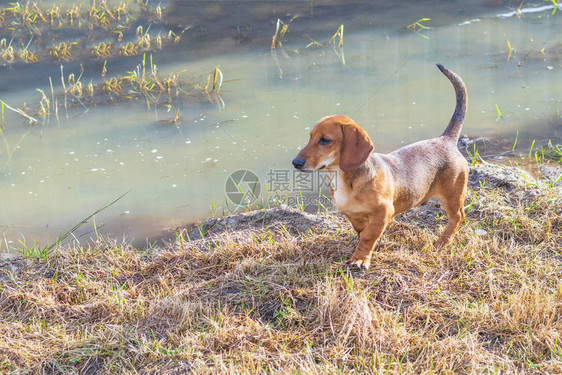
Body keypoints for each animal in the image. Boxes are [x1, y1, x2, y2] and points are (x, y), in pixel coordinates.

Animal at [290, 64, 466, 270]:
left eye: (325, 140)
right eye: (310, 137)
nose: (296, 163)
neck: (343, 179)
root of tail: (446, 139)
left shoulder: (384, 211)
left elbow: (368, 236)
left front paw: (360, 259)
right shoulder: (353, 215)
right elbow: (362, 232)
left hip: (451, 196)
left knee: (458, 217)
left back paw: (442, 242)